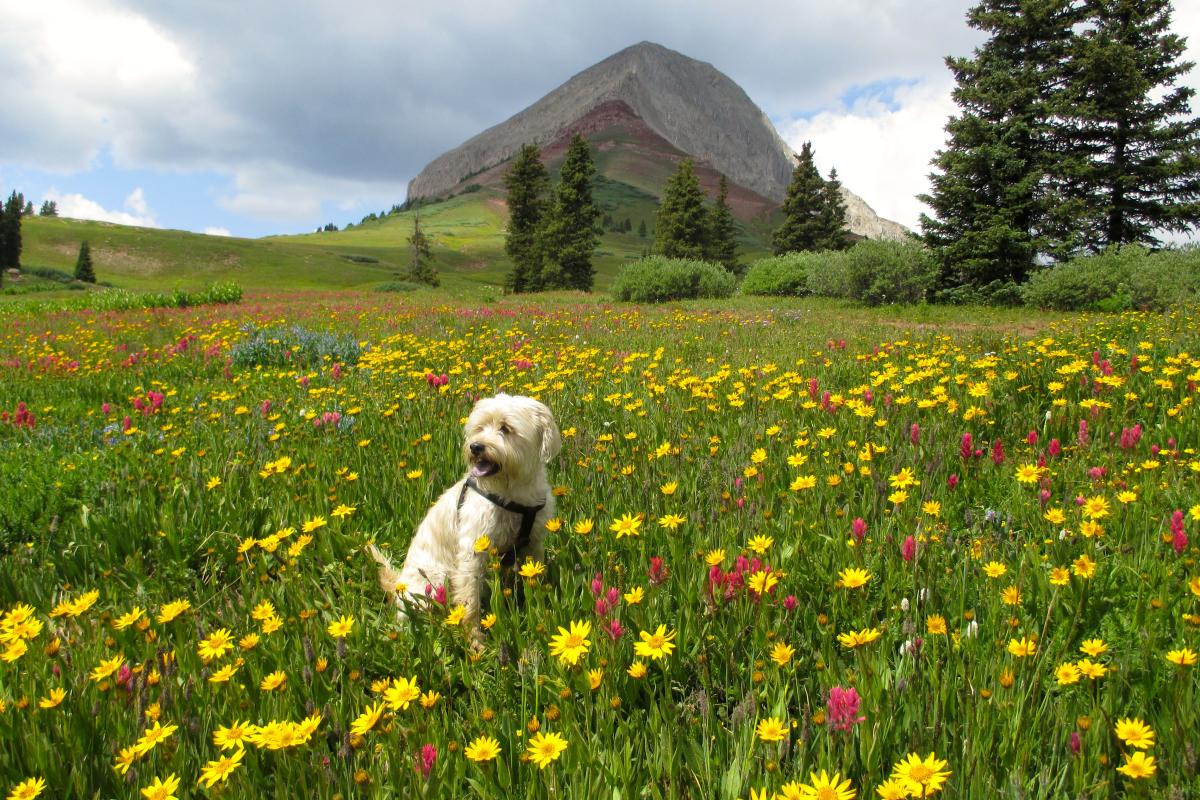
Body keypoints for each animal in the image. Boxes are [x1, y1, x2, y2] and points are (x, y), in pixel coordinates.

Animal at [367, 393, 559, 633]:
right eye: (480, 427)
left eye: (505, 428)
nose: (476, 447)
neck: (511, 494)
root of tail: (398, 585)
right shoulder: (473, 552)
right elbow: (469, 602)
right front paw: (475, 638)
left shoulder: (533, 543)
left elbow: (536, 578)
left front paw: (542, 612)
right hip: (434, 579)